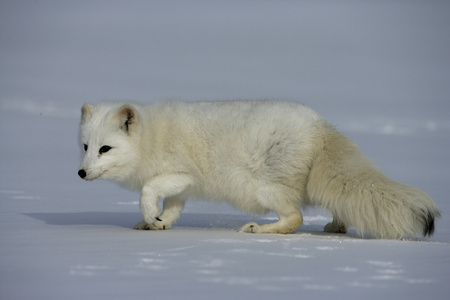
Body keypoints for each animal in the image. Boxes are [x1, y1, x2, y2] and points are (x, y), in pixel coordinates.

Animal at [77, 101, 440, 239]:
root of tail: (321, 127)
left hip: (266, 189)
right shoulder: (182, 187)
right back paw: (336, 227)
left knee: (295, 219)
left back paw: (258, 230)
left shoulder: (183, 174)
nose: (80, 174)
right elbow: (173, 209)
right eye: (85, 147)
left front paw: (150, 215)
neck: (152, 136)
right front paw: (157, 223)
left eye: (105, 149)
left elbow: (148, 190)